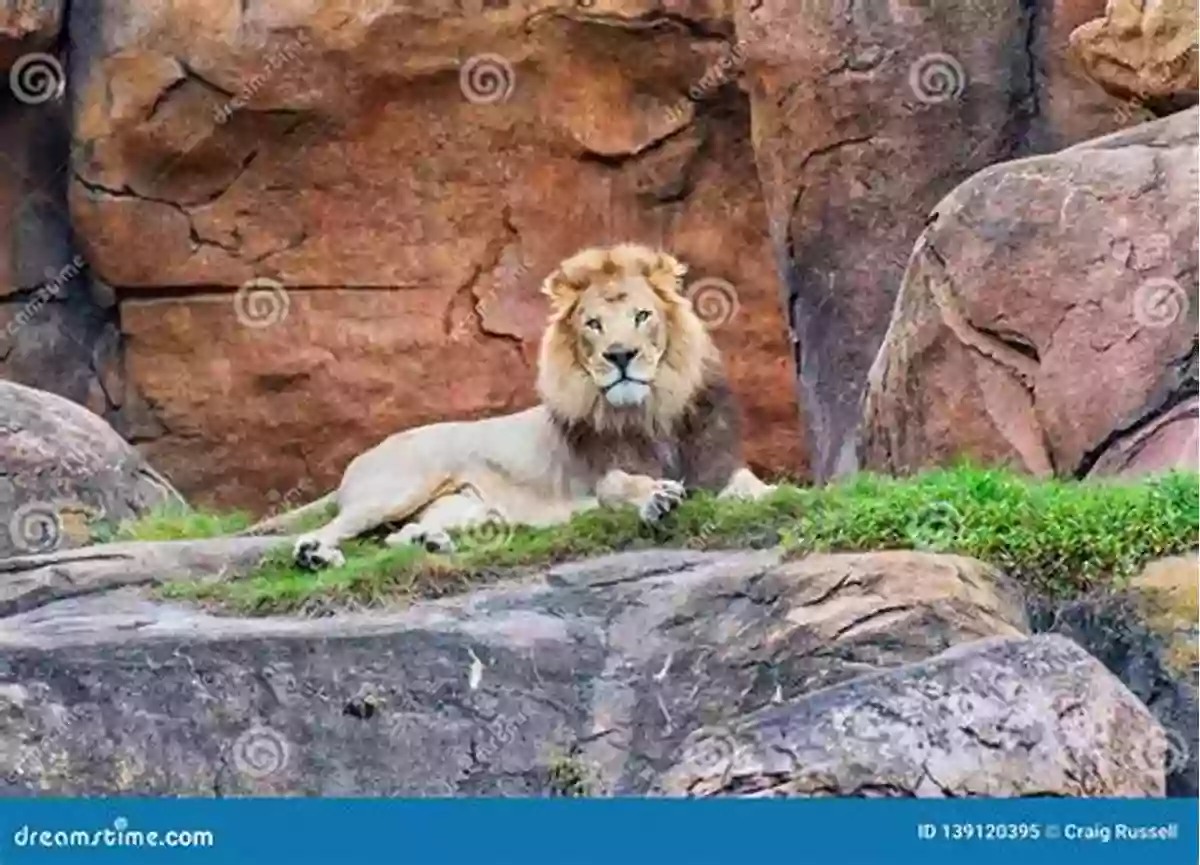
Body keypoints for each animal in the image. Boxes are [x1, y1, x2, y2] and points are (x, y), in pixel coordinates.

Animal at [246, 239, 777, 571]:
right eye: (593, 324)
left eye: (642, 316)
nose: (620, 356)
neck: (652, 411)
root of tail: (361, 458)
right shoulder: (595, 482)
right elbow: (621, 486)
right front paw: (656, 498)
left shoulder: (715, 465)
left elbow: (751, 485)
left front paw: (775, 494)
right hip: (399, 487)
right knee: (334, 528)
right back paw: (316, 555)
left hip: (466, 508)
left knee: (398, 537)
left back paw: (431, 542)